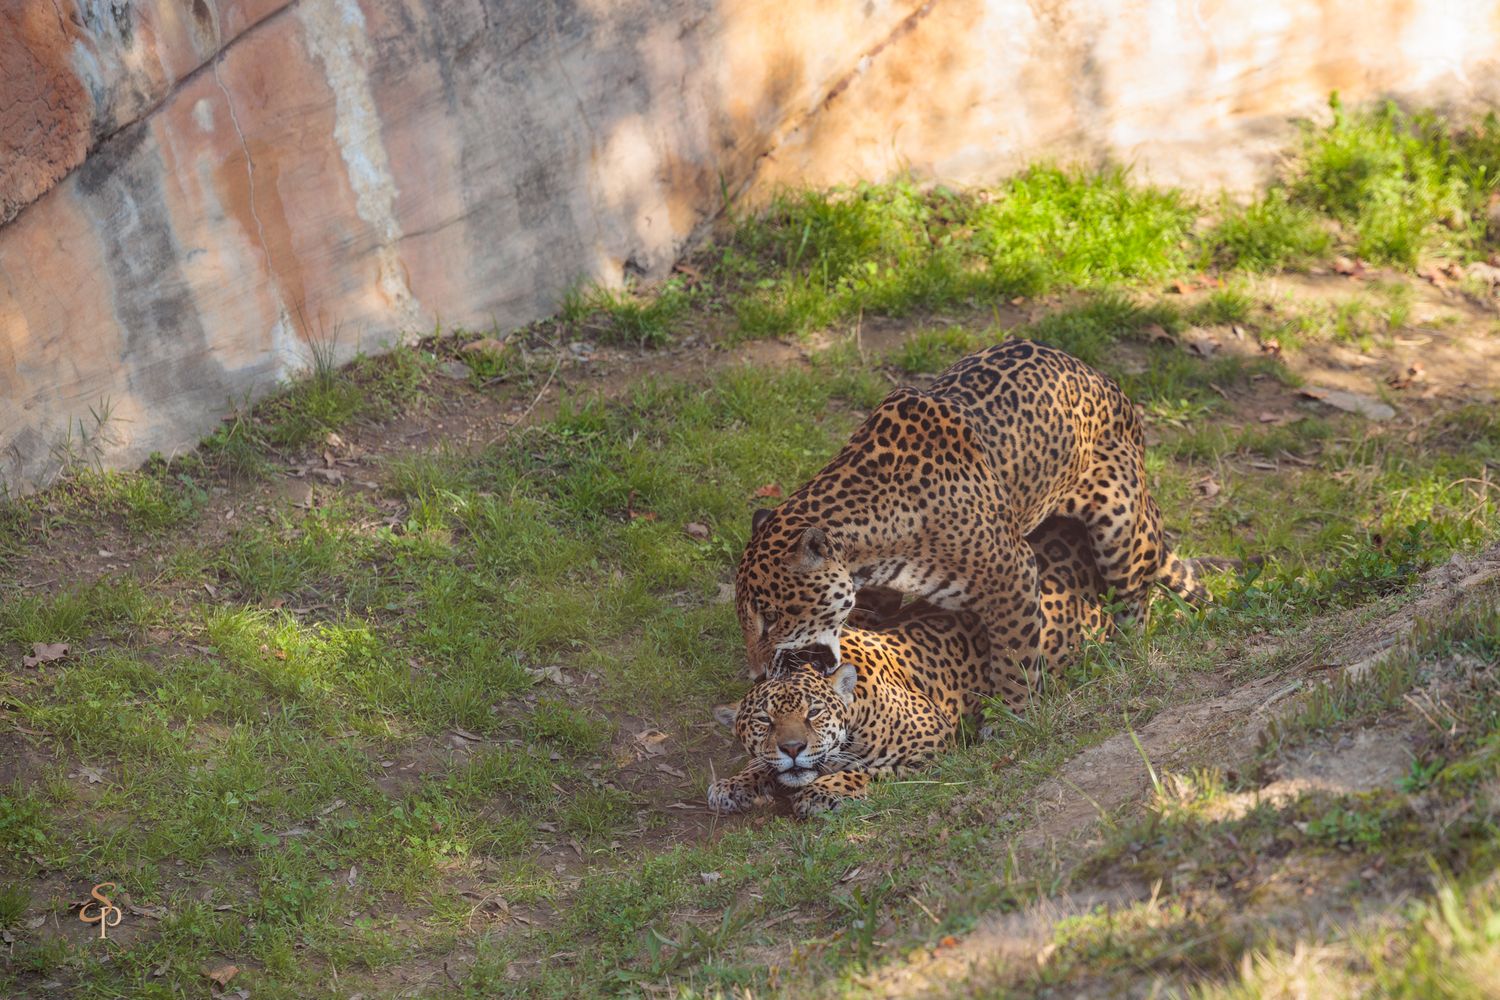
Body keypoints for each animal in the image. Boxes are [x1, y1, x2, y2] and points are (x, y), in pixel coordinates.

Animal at [709, 515, 1112, 818]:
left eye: (815, 713)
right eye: (764, 721)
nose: (792, 748)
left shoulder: (931, 745)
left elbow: (868, 772)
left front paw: (822, 791)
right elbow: (762, 763)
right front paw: (734, 783)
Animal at [734, 338, 1205, 704]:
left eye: (771, 617)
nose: (756, 673)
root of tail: (1106, 380)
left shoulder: (1014, 575)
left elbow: (1015, 659)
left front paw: (1015, 720)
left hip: (1119, 527)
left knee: (1136, 601)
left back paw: (1128, 659)